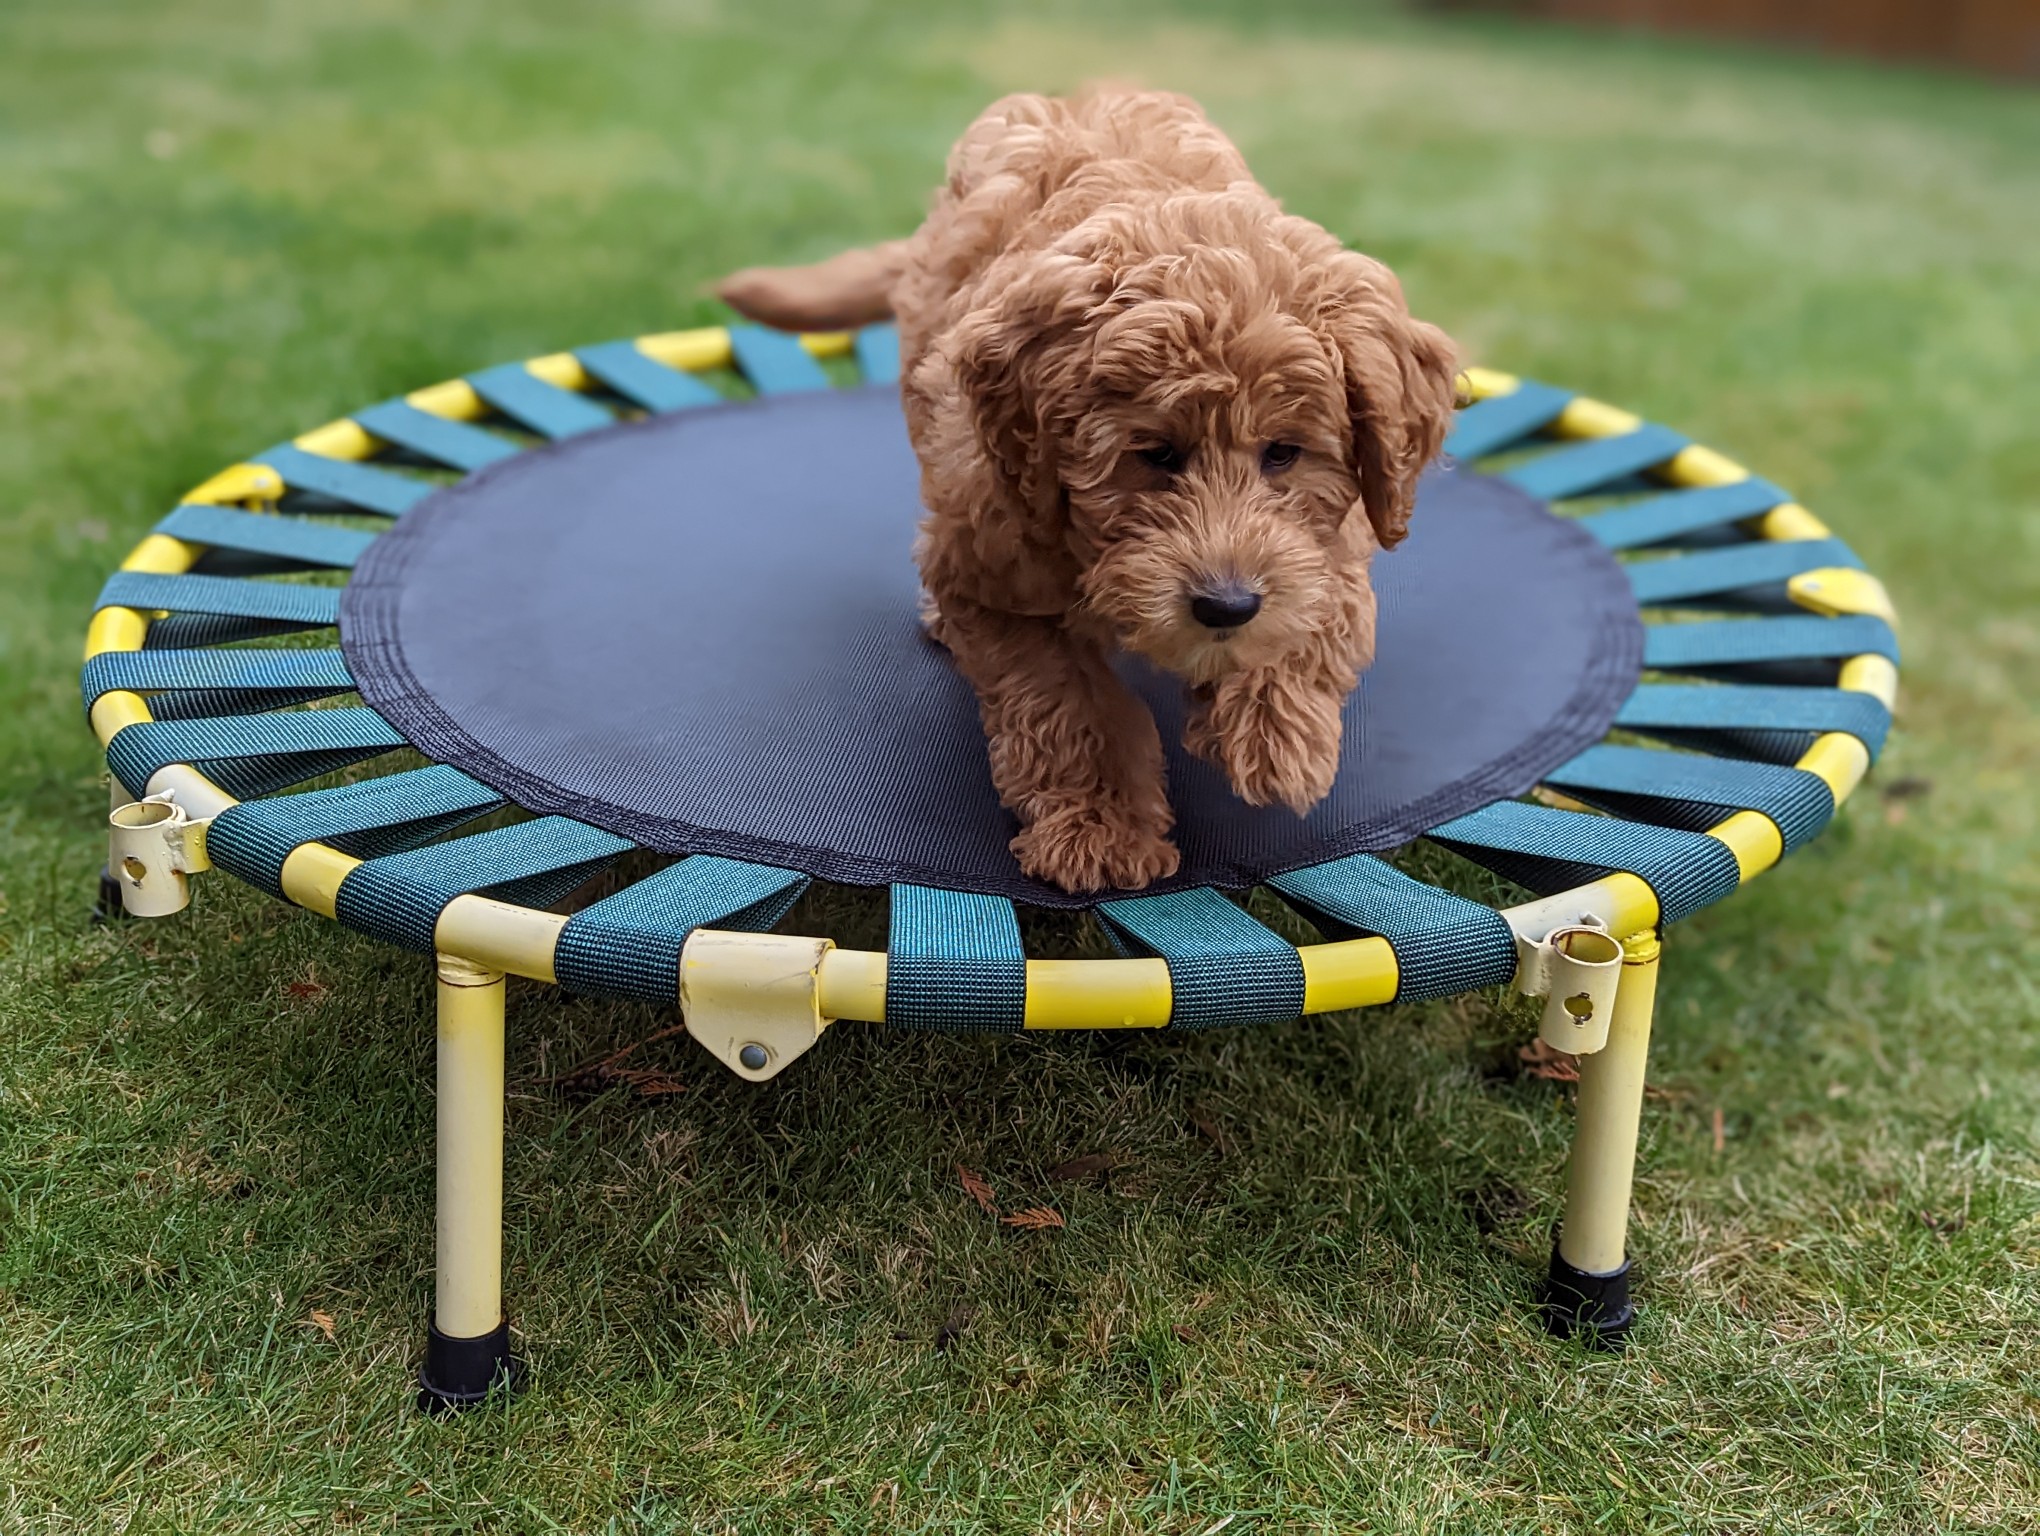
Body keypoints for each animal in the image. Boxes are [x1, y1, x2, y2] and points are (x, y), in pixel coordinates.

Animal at [720, 88, 1458, 894]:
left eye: (1285, 453)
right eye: (1154, 453)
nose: (1225, 606)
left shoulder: (1345, 535)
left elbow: (1321, 607)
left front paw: (1275, 736)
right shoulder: (995, 566)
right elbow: (1070, 705)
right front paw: (1100, 830)